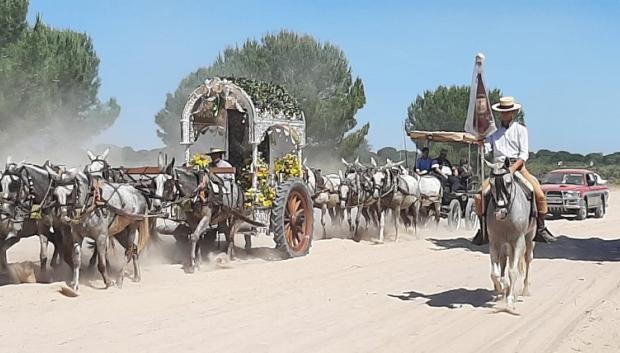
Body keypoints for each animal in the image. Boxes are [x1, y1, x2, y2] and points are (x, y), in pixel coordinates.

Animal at [486, 158, 536, 312]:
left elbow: (513, 272)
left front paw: (509, 302)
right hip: (506, 246)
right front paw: (500, 289)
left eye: (508, 182)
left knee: (527, 260)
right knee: (504, 262)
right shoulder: (494, 242)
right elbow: (495, 273)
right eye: (491, 183)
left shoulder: (518, 241)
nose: (500, 213)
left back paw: (524, 290)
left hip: (528, 239)